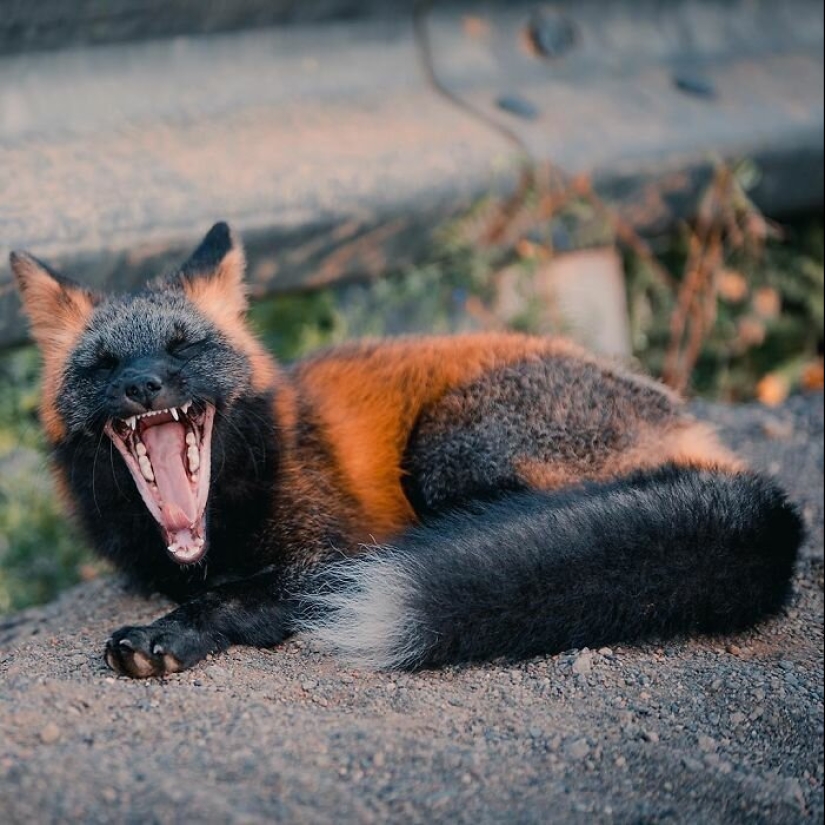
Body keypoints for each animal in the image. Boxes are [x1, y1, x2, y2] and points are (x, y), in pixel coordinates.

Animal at [9, 222, 800, 680]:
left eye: (184, 347)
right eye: (102, 364)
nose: (143, 385)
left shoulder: (330, 555)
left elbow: (234, 597)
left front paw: (170, 632)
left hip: (449, 448)